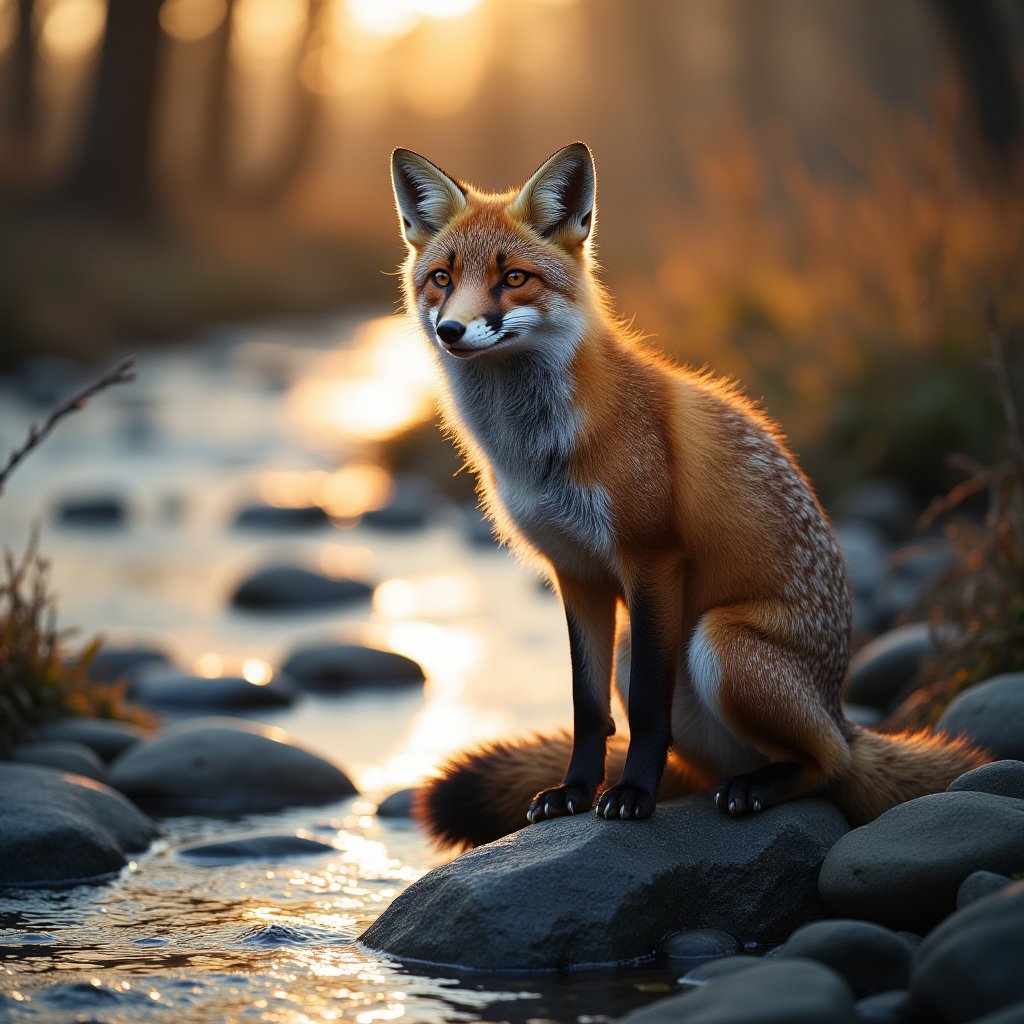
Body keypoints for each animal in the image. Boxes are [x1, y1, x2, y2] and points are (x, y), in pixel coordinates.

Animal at [387, 142, 987, 847]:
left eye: (513, 279)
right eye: (441, 278)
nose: (451, 330)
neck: (539, 450)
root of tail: (841, 707)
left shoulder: (653, 560)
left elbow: (648, 711)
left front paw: (633, 796)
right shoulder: (576, 573)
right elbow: (586, 707)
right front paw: (574, 793)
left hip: (717, 642)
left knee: (828, 765)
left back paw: (758, 787)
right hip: (647, 652)